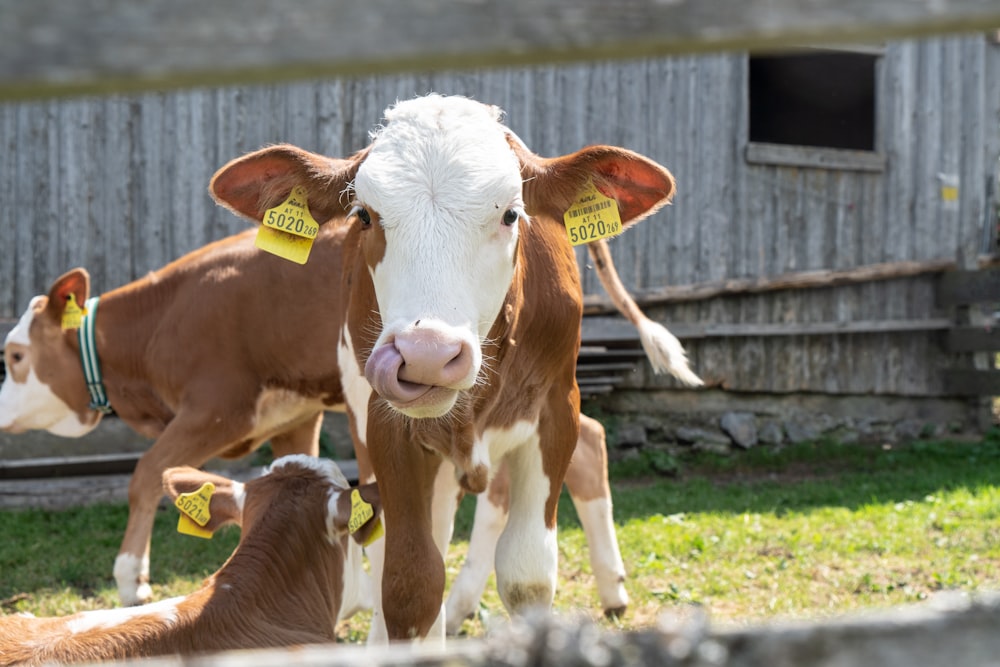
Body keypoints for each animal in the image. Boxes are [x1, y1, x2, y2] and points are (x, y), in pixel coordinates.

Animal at [209, 94, 680, 640]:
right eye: (364, 215)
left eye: (511, 214)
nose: (426, 354)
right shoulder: (385, 423)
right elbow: (410, 582)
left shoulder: (555, 409)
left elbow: (526, 574)